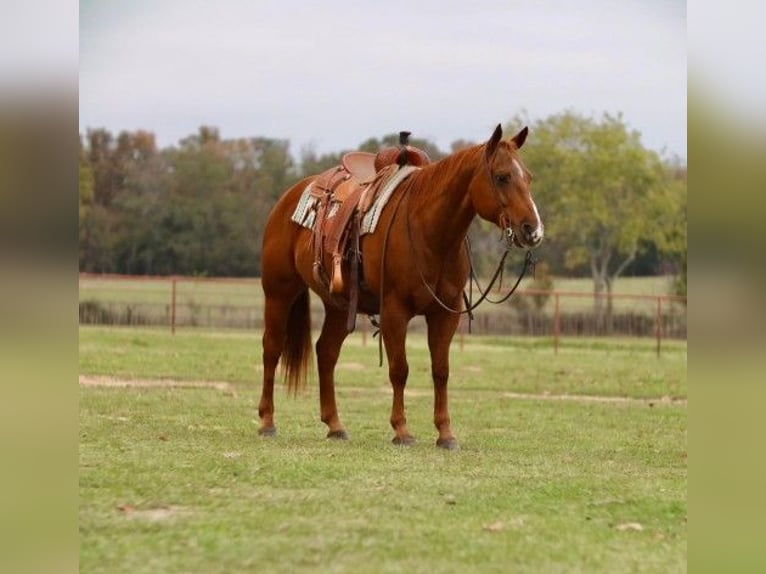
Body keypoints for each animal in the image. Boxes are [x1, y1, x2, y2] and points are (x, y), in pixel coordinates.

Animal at [260, 125, 544, 450]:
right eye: (501, 176)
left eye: (528, 177)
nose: (533, 230)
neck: (430, 234)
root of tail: (290, 195)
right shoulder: (395, 311)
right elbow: (400, 369)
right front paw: (401, 430)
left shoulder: (446, 313)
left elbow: (441, 371)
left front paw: (446, 434)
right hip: (278, 292)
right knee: (272, 348)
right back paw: (267, 422)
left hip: (338, 306)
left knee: (326, 352)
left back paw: (335, 425)